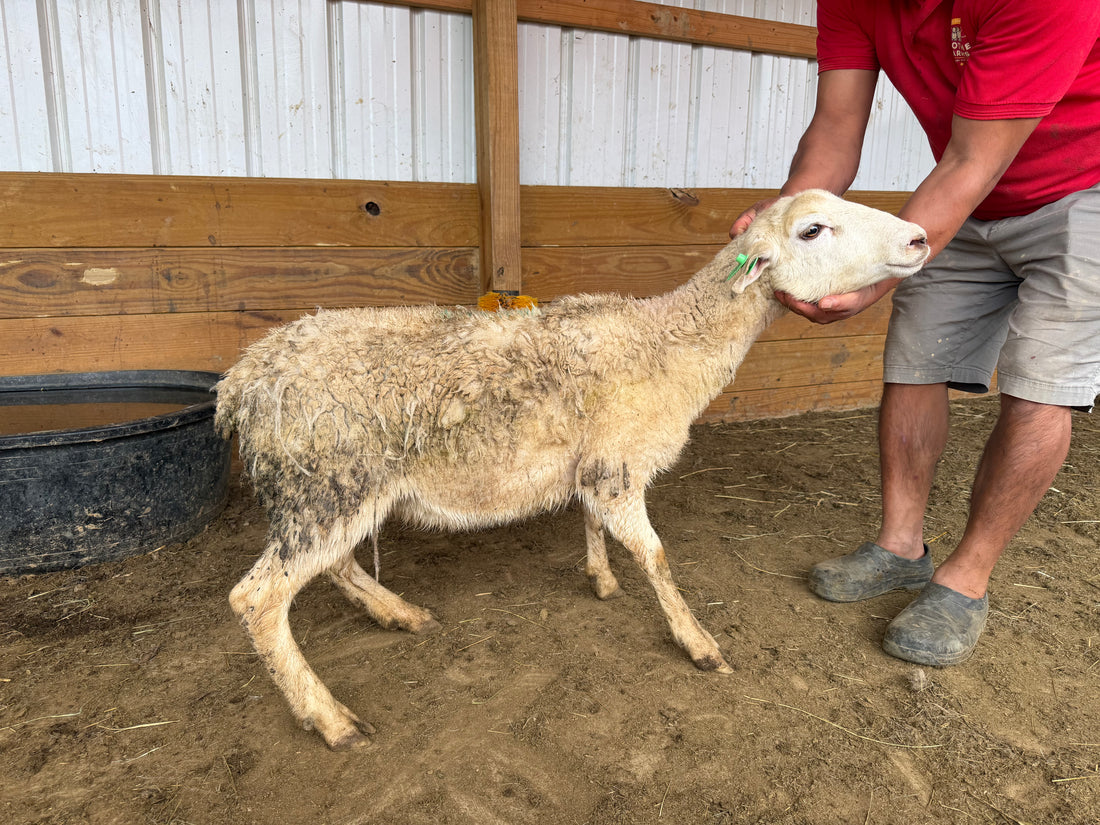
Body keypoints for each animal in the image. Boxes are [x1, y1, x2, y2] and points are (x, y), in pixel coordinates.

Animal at [214, 190, 930, 749]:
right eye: (813, 230)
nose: (921, 237)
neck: (668, 340)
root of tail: (241, 381)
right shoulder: (619, 465)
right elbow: (656, 556)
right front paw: (697, 642)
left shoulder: (596, 464)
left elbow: (591, 521)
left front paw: (601, 578)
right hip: (329, 484)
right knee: (256, 600)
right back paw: (328, 716)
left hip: (329, 493)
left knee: (331, 564)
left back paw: (397, 613)